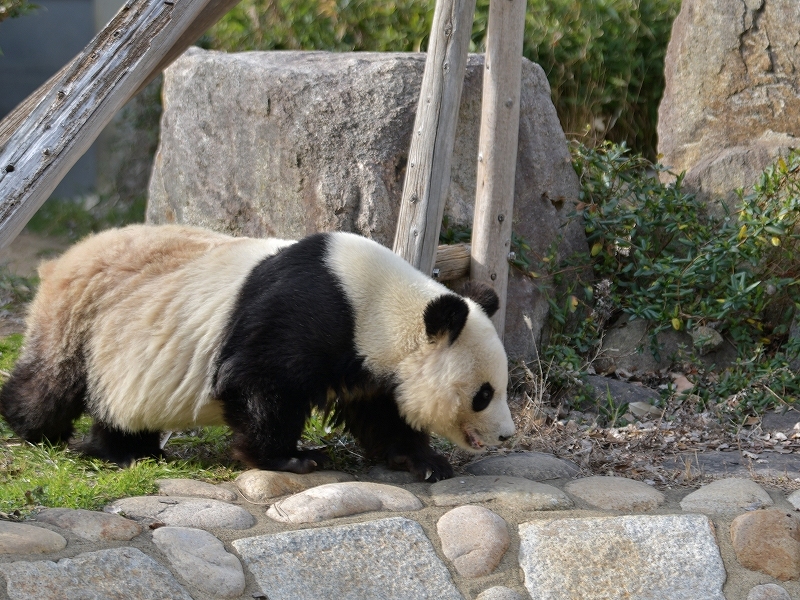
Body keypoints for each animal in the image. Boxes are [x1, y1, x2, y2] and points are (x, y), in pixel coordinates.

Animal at [0, 223, 512, 480]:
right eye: (483, 394)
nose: (507, 435)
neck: (380, 304)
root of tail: (66, 257)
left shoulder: (369, 359)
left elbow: (382, 412)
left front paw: (425, 463)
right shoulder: (304, 314)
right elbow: (260, 382)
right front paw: (293, 458)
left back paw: (131, 450)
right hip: (80, 316)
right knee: (51, 383)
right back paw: (31, 429)